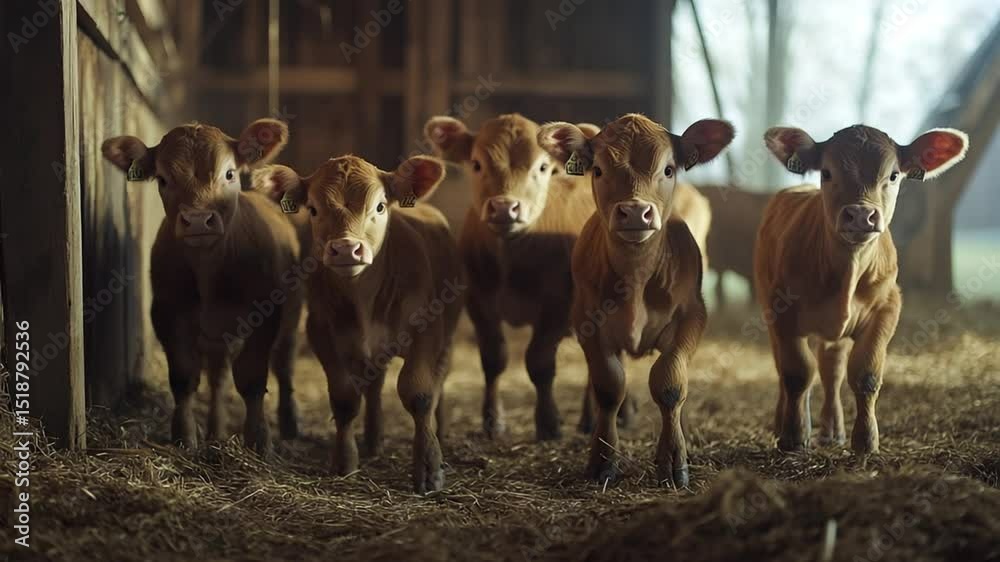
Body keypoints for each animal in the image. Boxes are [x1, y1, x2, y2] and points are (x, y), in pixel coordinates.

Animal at [101, 119, 302, 455]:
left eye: (229, 174)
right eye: (163, 179)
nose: (197, 219)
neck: (209, 272)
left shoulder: (264, 317)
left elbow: (252, 379)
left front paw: (258, 441)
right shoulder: (167, 313)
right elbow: (184, 378)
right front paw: (185, 436)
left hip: (291, 315)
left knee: (284, 364)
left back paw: (289, 425)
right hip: (215, 336)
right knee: (218, 377)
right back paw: (216, 431)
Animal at [252, 155, 462, 493]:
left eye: (380, 206)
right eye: (313, 208)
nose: (346, 249)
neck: (364, 298)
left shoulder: (427, 330)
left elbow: (419, 392)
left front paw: (429, 467)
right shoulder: (322, 332)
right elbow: (345, 398)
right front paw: (345, 461)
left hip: (447, 336)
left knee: (438, 383)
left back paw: (439, 433)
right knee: (374, 387)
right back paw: (373, 441)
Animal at [538, 113, 735, 486]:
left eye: (668, 169)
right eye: (598, 169)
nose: (634, 211)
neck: (637, 277)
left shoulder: (692, 316)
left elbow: (670, 382)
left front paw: (674, 460)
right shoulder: (587, 321)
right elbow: (608, 386)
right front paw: (602, 460)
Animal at [755, 124, 968, 453]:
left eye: (893, 175)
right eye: (827, 172)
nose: (859, 215)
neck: (848, 271)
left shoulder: (887, 308)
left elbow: (866, 373)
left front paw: (866, 441)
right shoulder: (783, 312)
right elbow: (796, 373)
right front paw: (792, 437)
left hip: (837, 334)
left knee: (831, 369)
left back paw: (833, 430)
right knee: (787, 368)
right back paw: (789, 423)